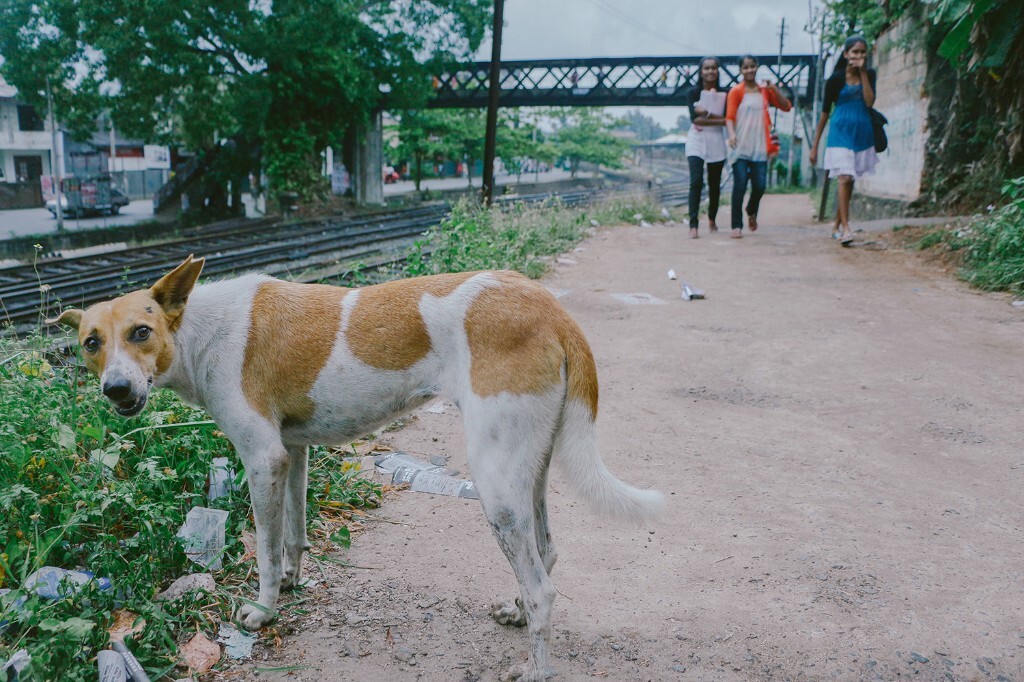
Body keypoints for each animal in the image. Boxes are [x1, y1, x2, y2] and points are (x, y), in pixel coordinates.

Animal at [51, 254, 663, 679]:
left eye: (141, 332)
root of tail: (552, 309)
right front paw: (293, 581)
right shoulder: (292, 452)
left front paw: (264, 610)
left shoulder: (262, 458)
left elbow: (265, 550)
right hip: (526, 472)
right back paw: (516, 611)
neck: (198, 330)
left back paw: (536, 665)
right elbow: (294, 535)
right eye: (90, 343)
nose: (116, 390)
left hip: (496, 484)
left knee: (543, 590)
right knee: (547, 551)